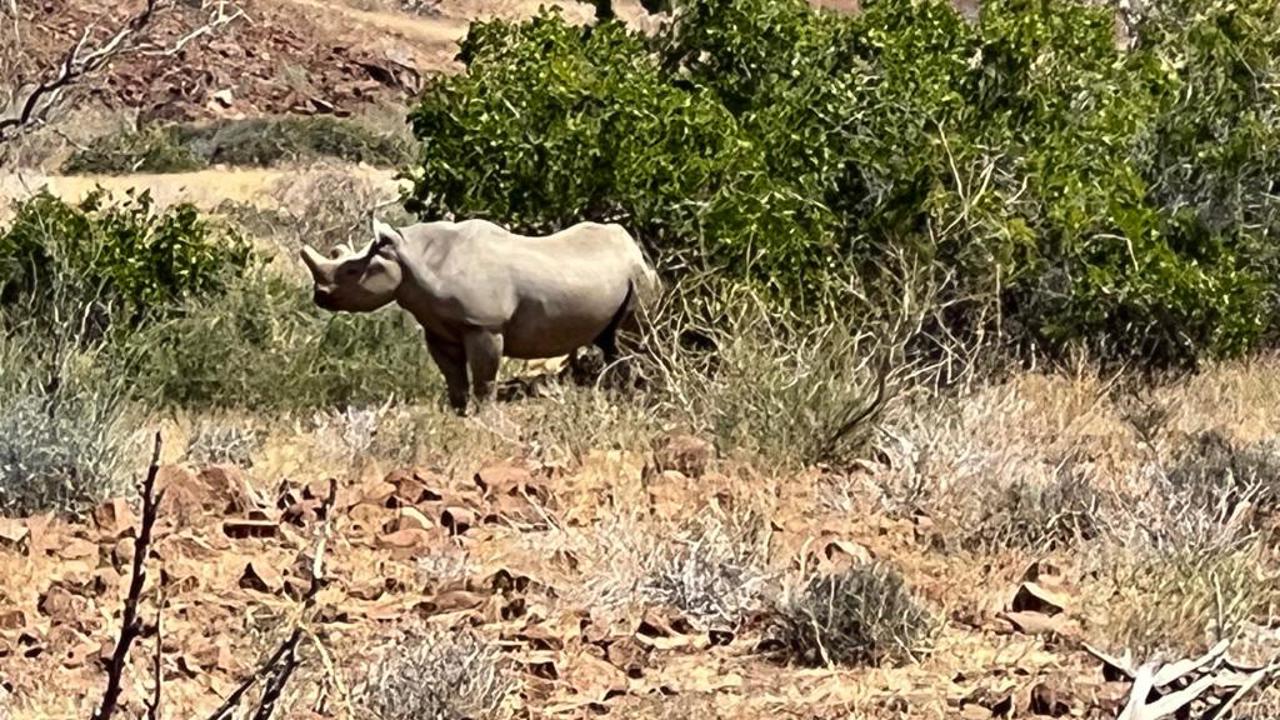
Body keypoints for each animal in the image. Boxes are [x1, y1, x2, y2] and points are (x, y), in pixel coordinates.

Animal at [300, 217, 661, 414]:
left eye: (351, 271)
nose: (320, 296)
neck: (409, 255)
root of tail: (637, 249)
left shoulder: (484, 325)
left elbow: (484, 380)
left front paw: (485, 417)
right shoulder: (438, 329)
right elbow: (454, 380)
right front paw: (459, 415)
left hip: (639, 276)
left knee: (631, 339)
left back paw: (635, 397)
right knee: (610, 342)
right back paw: (620, 394)